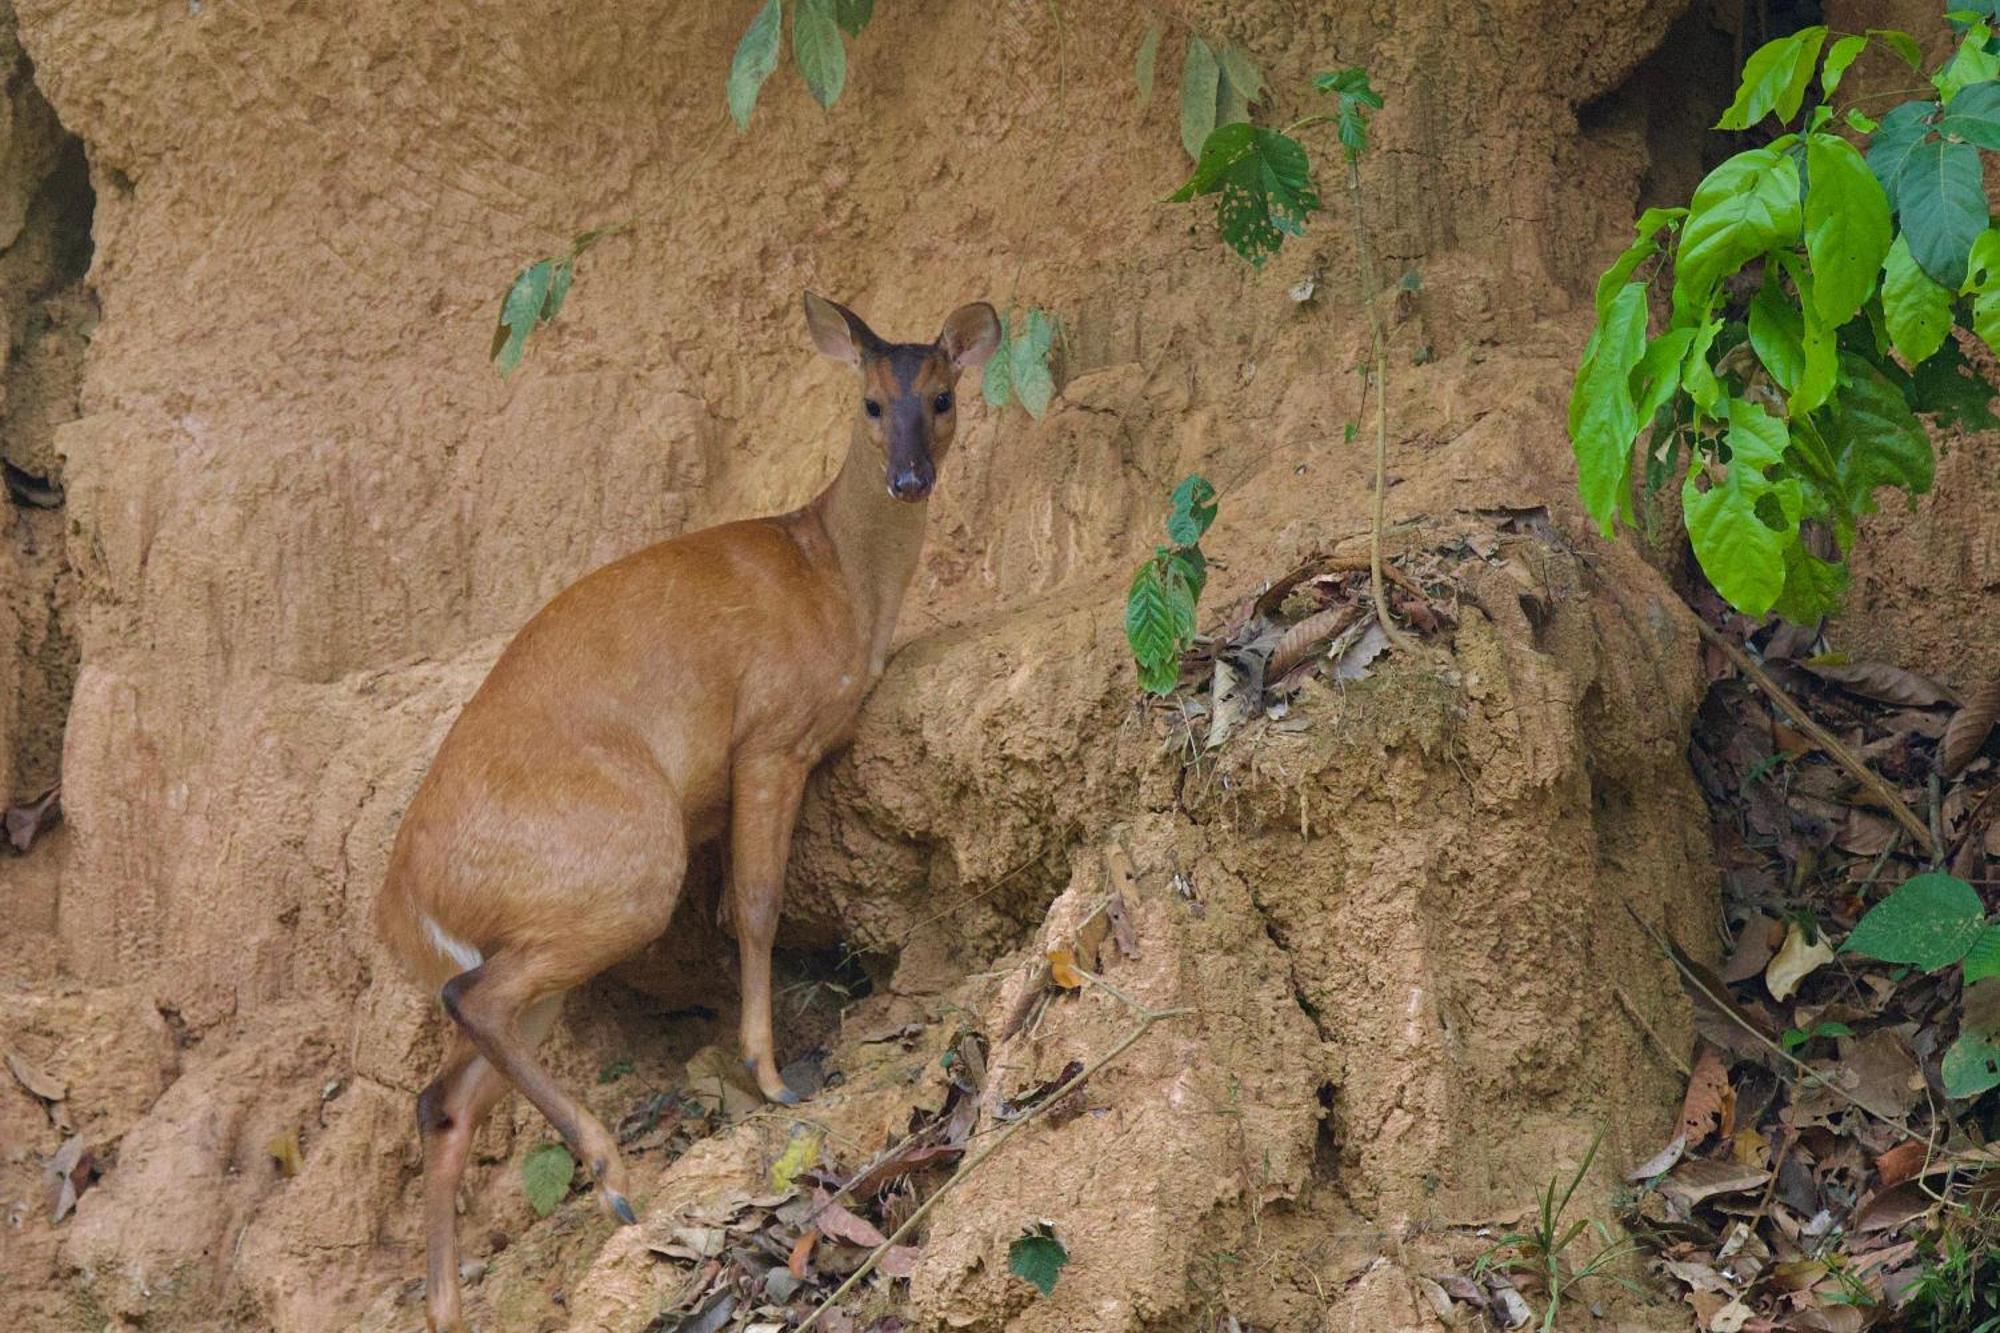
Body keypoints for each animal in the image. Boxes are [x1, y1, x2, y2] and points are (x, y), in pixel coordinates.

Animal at [374, 294, 1000, 1328]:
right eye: (871, 403)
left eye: (943, 397)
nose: (910, 478)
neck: (836, 578)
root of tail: (400, 906)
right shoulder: (769, 736)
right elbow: (753, 904)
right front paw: (774, 1075)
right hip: (623, 859)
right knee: (474, 1003)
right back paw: (614, 1176)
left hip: (555, 930)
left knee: (444, 1094)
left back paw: (449, 1304)